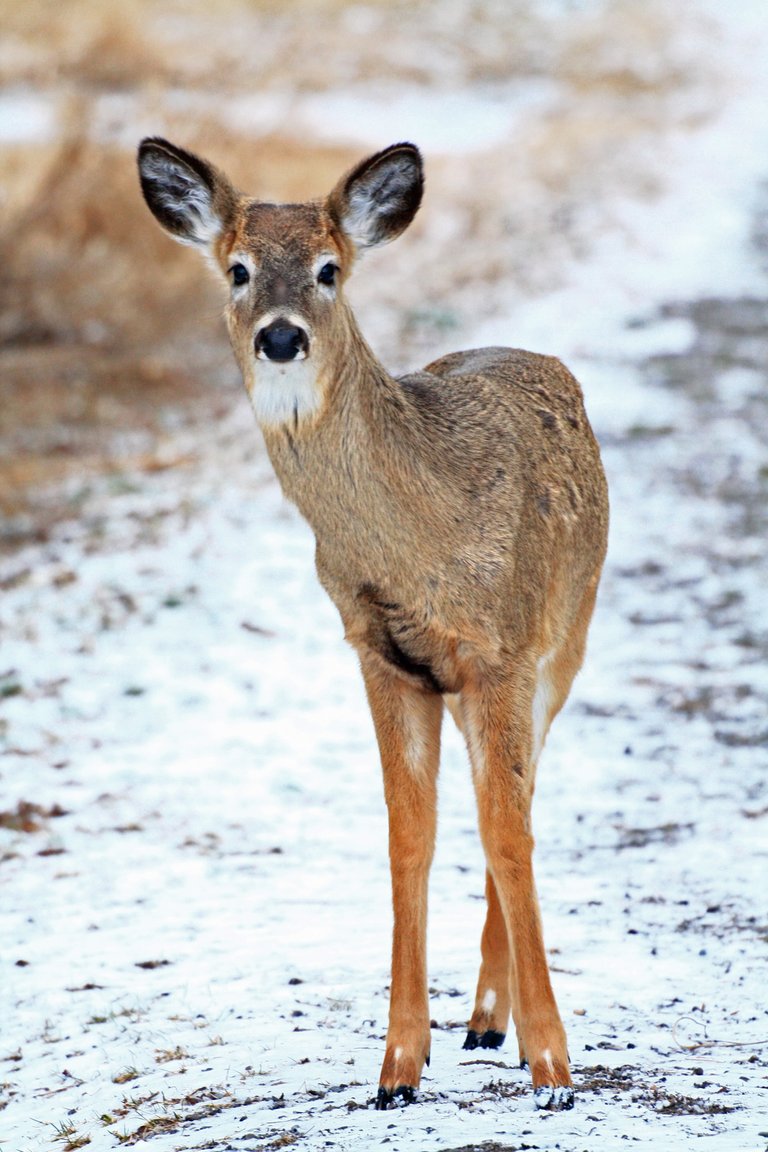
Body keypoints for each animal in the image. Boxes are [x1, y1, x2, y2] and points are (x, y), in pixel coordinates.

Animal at [136, 137, 607, 1115]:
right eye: (237, 270)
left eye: (329, 269)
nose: (281, 336)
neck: (418, 542)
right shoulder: (379, 655)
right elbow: (409, 837)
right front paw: (397, 1067)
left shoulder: (503, 651)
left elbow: (507, 832)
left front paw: (554, 1069)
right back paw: (483, 1021)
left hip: (568, 634)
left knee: (521, 804)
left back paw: (503, 1023)